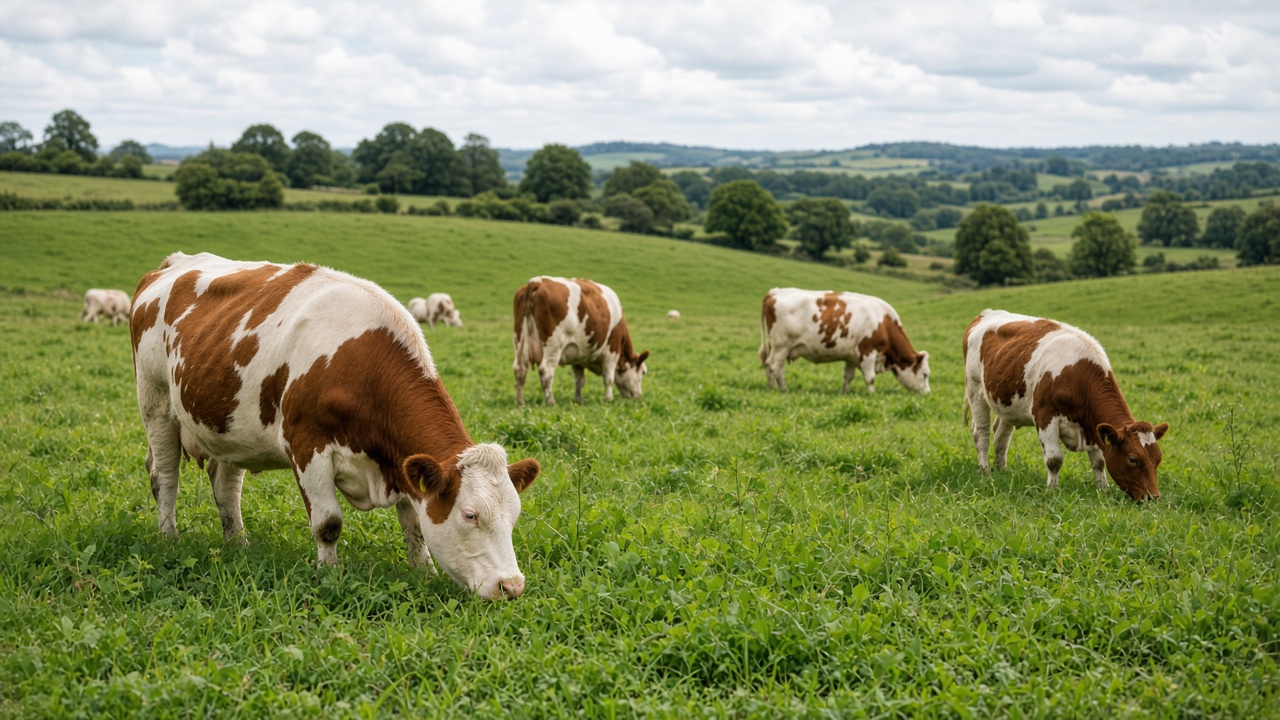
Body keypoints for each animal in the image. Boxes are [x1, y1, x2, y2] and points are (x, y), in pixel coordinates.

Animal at [130, 252, 541, 599]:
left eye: (515, 514)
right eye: (470, 515)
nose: (512, 586)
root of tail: (173, 262)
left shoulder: (402, 463)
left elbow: (413, 525)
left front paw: (424, 572)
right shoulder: (307, 445)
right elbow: (328, 523)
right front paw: (330, 575)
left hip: (230, 427)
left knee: (225, 486)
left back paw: (238, 544)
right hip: (155, 401)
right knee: (165, 475)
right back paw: (169, 538)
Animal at [512, 276, 649, 407]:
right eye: (643, 372)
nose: (638, 396)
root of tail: (536, 282)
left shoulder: (577, 357)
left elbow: (580, 381)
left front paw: (579, 401)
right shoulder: (612, 351)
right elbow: (608, 378)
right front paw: (608, 400)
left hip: (519, 341)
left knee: (520, 369)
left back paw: (521, 402)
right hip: (554, 344)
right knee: (546, 370)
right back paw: (551, 403)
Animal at [759, 288, 930, 394]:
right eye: (925, 374)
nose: (928, 394)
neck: (883, 323)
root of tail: (775, 292)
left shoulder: (851, 356)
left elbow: (848, 376)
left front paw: (845, 393)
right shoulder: (868, 352)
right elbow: (870, 378)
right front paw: (872, 395)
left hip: (780, 348)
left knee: (776, 367)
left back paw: (780, 388)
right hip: (781, 345)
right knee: (773, 366)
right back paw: (777, 390)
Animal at [963, 309, 1169, 501]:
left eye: (1158, 458)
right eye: (1132, 459)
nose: (1153, 497)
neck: (1078, 376)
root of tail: (986, 313)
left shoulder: (1094, 426)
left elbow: (1100, 461)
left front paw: (1103, 490)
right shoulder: (1045, 416)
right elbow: (1054, 459)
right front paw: (1052, 491)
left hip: (1007, 404)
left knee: (1001, 438)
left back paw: (1002, 471)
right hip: (975, 389)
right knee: (981, 434)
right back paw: (985, 472)